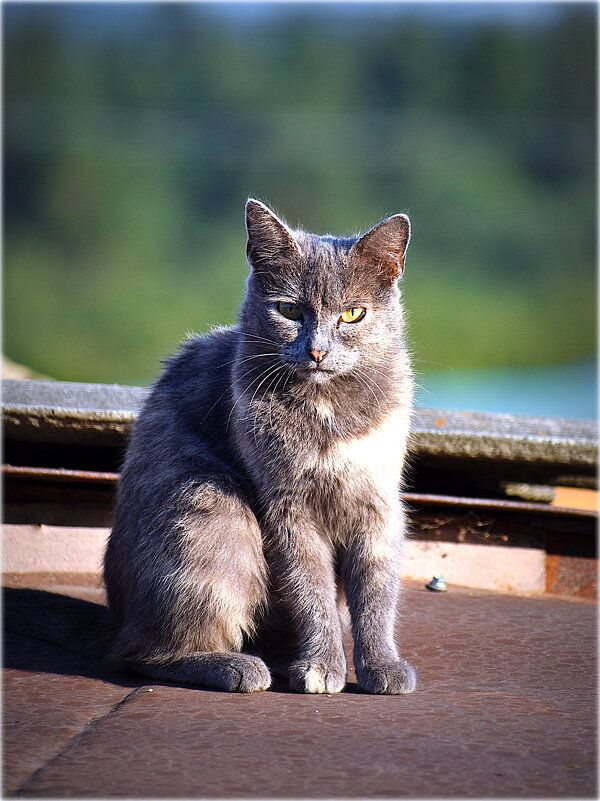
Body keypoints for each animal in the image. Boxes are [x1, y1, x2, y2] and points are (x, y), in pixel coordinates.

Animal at [101, 200, 414, 692]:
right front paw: (323, 667)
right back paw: (238, 666)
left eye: (352, 314)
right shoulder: (288, 505)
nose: (317, 351)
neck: (326, 412)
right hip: (210, 510)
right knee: (142, 654)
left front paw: (382, 666)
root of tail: (117, 620)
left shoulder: (377, 500)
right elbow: (310, 588)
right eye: (288, 309)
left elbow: (377, 588)